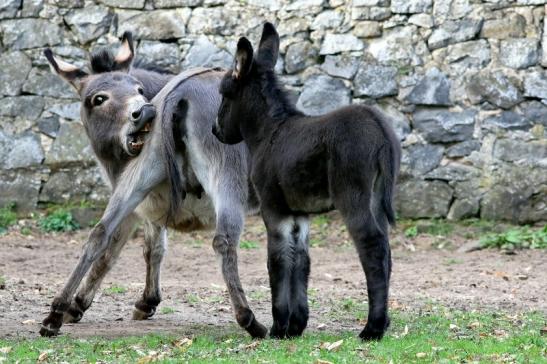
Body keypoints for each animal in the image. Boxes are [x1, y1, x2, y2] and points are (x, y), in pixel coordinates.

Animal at [214, 23, 402, 342]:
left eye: (225, 94)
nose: (215, 130)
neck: (268, 132)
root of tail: (378, 124)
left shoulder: (273, 210)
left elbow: (277, 261)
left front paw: (279, 328)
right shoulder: (298, 213)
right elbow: (300, 261)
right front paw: (296, 326)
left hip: (353, 198)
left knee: (374, 248)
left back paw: (372, 328)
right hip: (376, 199)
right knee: (386, 250)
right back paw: (384, 323)